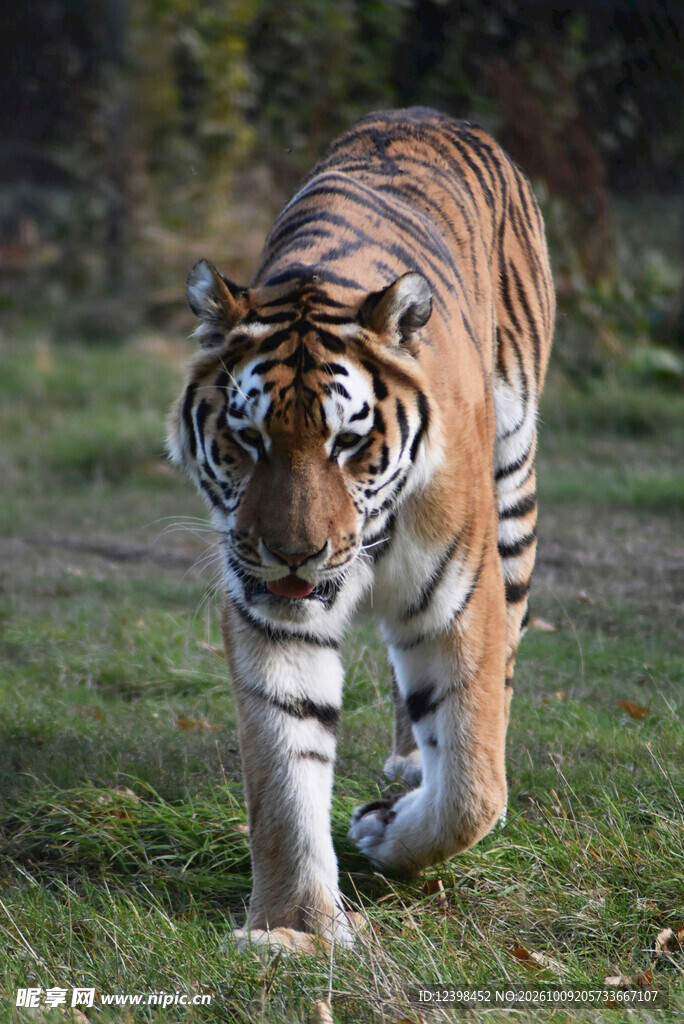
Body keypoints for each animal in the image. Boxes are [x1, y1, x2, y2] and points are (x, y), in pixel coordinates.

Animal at [168, 107, 554, 952]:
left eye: (348, 443)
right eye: (248, 439)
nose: (293, 555)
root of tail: (429, 113)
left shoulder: (460, 597)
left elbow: (472, 785)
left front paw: (384, 836)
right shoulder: (268, 612)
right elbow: (286, 768)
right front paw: (294, 929)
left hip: (514, 493)